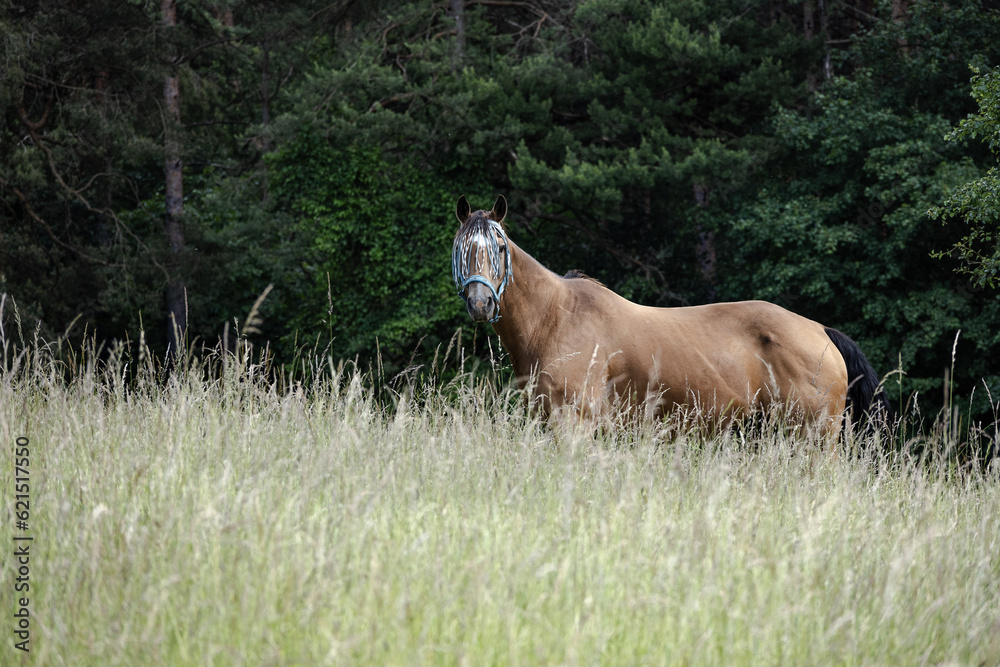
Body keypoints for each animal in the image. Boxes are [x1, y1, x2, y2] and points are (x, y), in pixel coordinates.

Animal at [451, 195, 890, 435]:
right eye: (460, 247)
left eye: (500, 247)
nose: (480, 302)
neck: (557, 319)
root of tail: (821, 331)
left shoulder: (575, 422)